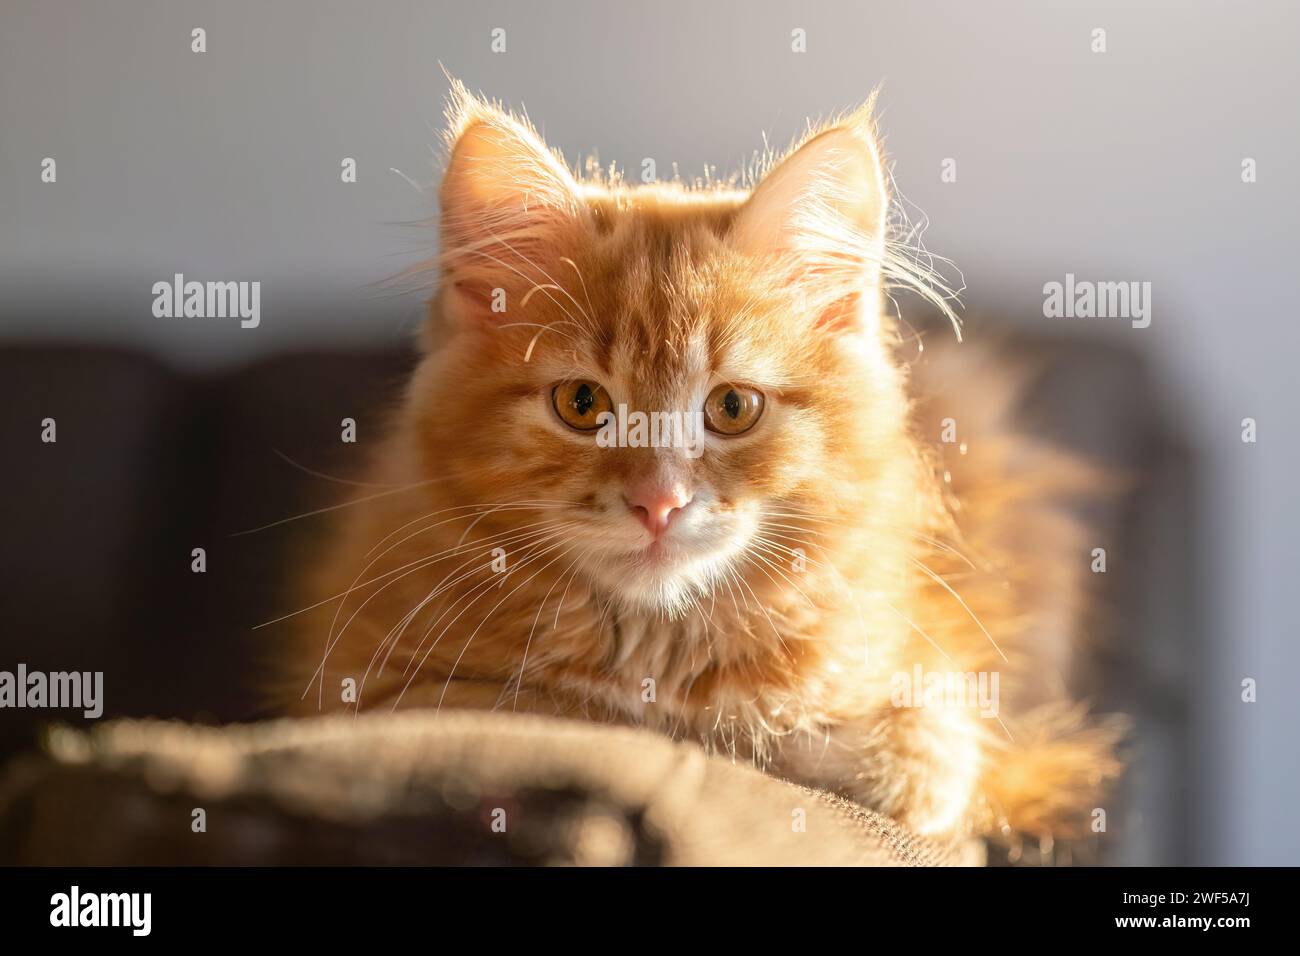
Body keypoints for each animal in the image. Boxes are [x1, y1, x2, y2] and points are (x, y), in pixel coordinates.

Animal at [279, 83, 1123, 842]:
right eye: (581, 404)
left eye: (732, 408)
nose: (659, 502)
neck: (658, 653)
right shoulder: (372, 689)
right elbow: (589, 716)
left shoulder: (934, 705)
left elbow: (899, 755)